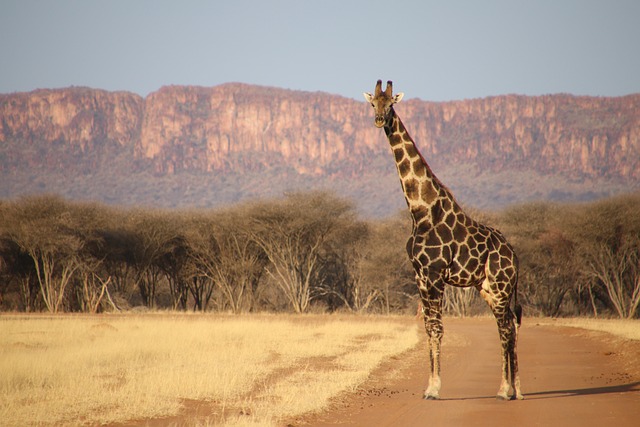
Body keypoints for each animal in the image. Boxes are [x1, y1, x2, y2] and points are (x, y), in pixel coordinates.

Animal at [364, 80, 523, 401]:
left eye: (391, 104)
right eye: (372, 103)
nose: (379, 120)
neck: (421, 209)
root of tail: (514, 256)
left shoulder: (435, 274)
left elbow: (437, 328)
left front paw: (435, 388)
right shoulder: (420, 275)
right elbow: (428, 327)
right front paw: (430, 385)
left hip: (501, 286)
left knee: (505, 328)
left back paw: (505, 390)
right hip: (487, 288)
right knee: (509, 326)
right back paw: (512, 388)